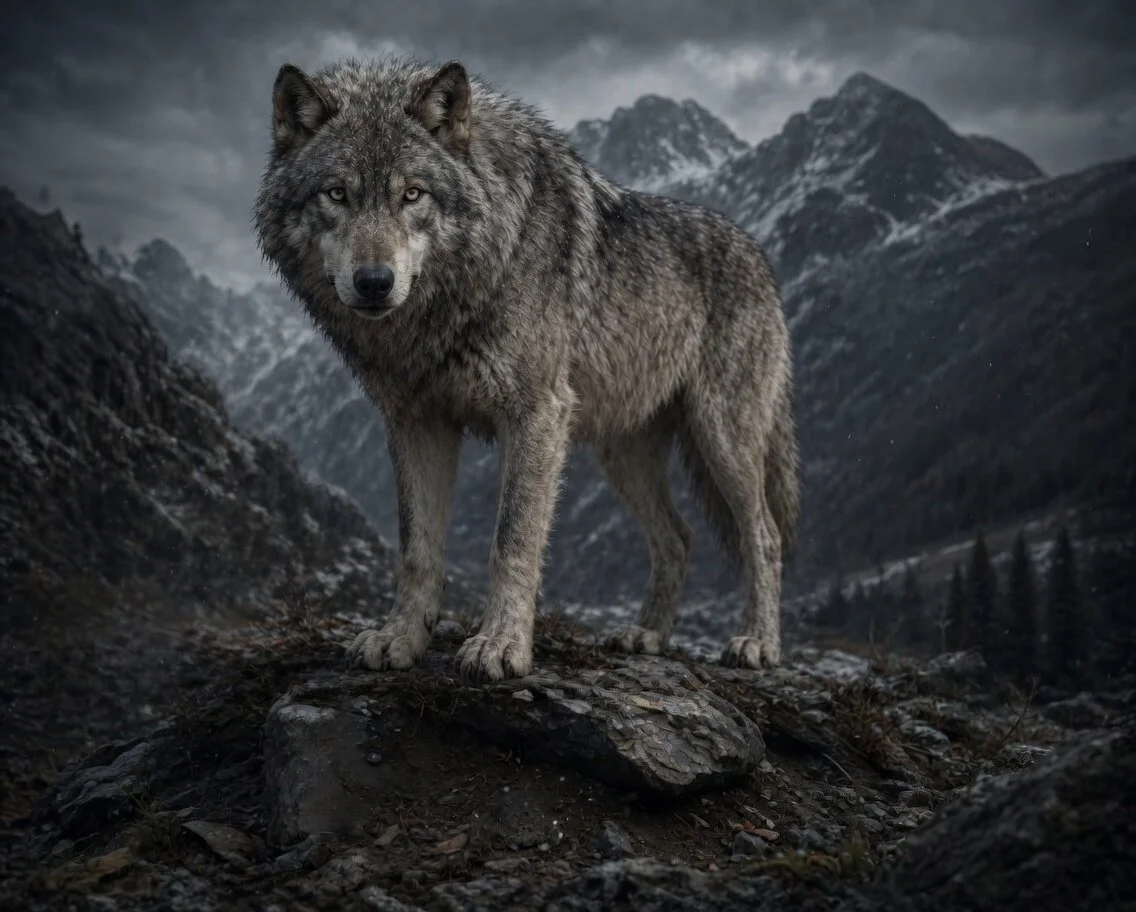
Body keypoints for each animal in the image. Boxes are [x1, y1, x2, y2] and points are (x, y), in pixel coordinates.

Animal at [253, 56, 800, 682]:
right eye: (337, 194)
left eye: (412, 194)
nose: (373, 282)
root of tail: (761, 257)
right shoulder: (417, 423)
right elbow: (417, 548)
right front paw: (401, 638)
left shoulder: (537, 415)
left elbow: (511, 540)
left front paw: (501, 644)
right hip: (621, 454)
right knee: (679, 538)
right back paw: (647, 635)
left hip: (722, 439)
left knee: (765, 535)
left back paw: (757, 643)